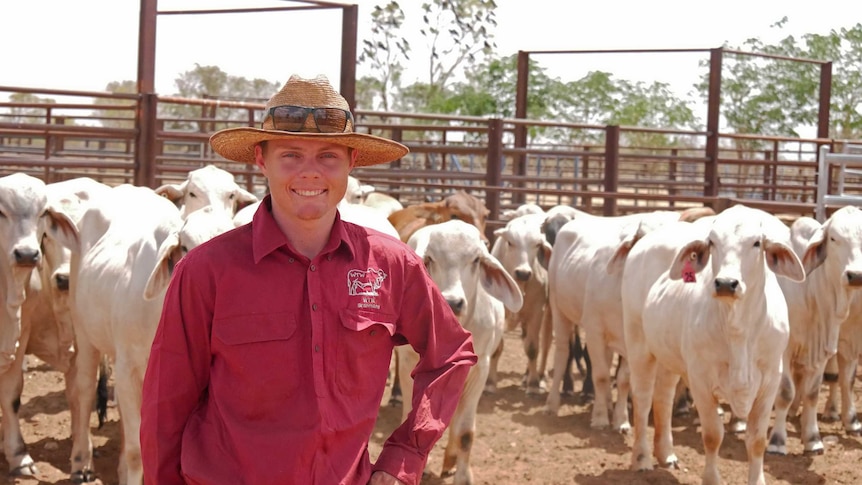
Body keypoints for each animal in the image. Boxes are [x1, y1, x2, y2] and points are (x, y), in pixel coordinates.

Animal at [396, 219, 520, 484]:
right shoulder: (409, 364)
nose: (452, 302)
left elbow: (464, 433)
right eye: (430, 258)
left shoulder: (480, 369)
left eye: (475, 260)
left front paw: (462, 475)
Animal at [624, 205, 808, 484]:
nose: (726, 283)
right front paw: (712, 478)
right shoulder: (700, 380)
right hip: (639, 345)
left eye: (756, 242)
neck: (737, 330)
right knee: (643, 400)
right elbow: (712, 436)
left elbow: (757, 440)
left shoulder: (769, 381)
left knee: (663, 397)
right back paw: (642, 458)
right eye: (712, 242)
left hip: (669, 354)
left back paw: (666, 453)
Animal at [768, 206, 862, 456]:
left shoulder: (823, 350)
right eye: (834, 238)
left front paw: (812, 438)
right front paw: (777, 441)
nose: (856, 275)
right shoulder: (784, 350)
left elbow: (813, 392)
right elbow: (785, 392)